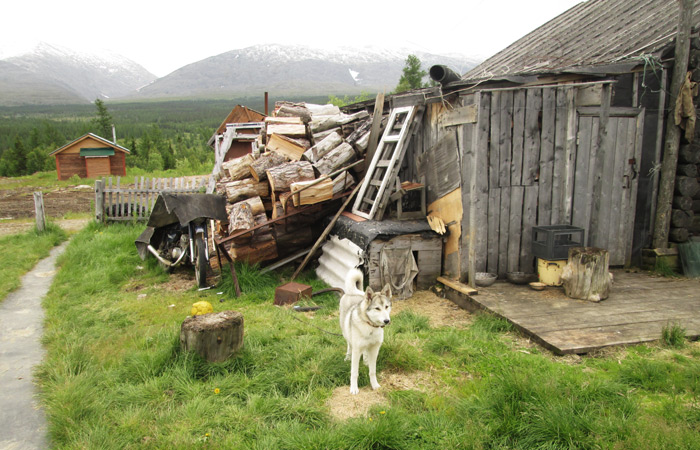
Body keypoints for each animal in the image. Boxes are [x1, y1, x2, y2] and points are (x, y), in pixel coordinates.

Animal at [340, 268, 394, 396]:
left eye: (386, 307)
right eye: (377, 308)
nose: (387, 321)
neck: (371, 327)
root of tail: (353, 292)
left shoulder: (375, 349)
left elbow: (372, 371)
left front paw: (375, 385)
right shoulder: (356, 350)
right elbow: (354, 373)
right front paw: (354, 389)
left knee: (365, 352)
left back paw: (365, 361)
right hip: (346, 334)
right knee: (349, 345)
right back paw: (347, 357)